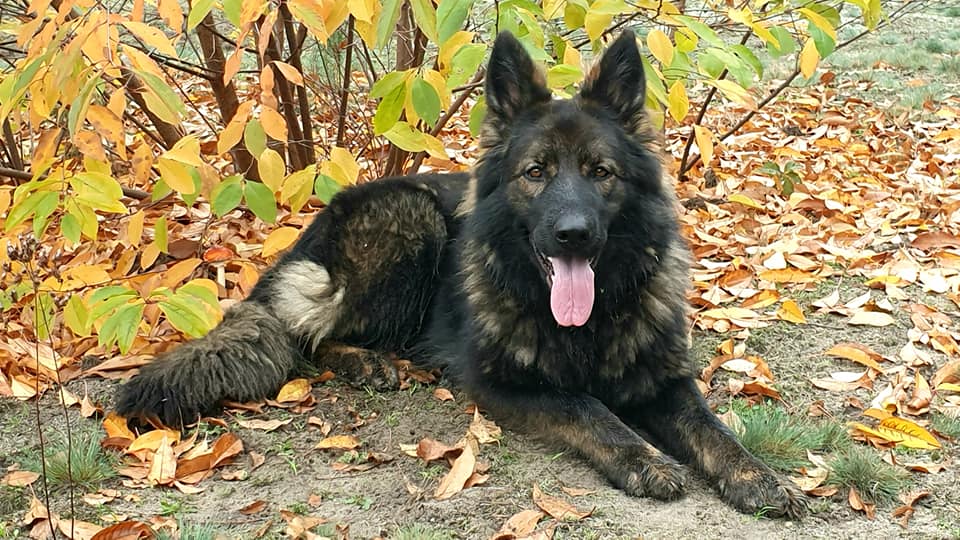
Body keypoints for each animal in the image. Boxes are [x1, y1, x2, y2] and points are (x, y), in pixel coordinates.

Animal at [116, 31, 806, 519]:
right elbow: (587, 407)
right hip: (413, 222)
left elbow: (712, 429)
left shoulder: (663, 380)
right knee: (306, 335)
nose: (573, 234)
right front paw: (644, 459)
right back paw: (367, 362)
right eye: (536, 172)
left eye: (600, 172)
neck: (583, 325)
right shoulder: (502, 385)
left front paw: (758, 476)